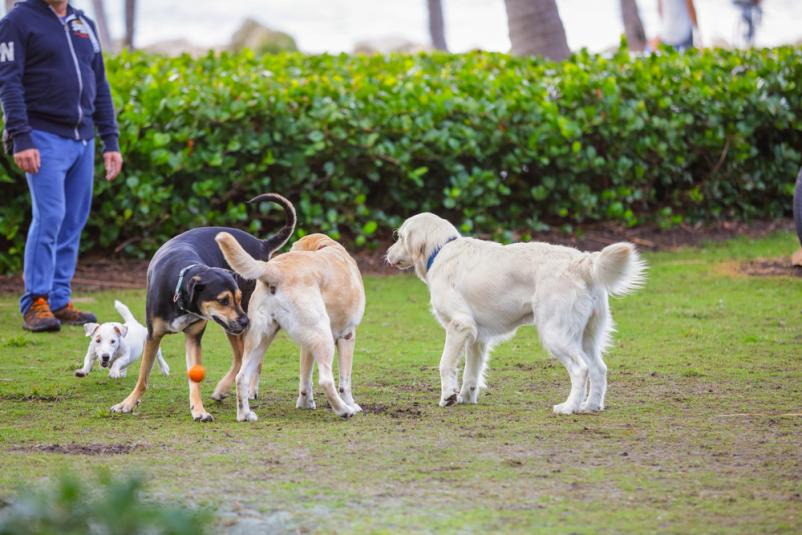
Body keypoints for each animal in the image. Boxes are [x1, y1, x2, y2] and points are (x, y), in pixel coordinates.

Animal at [108, 194, 292, 422]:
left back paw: (233, 389)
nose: (246, 321)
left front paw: (199, 410)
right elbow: (143, 376)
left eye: (238, 298)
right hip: (231, 327)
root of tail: (261, 243)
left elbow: (194, 378)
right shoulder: (154, 335)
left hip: (235, 326)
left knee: (244, 358)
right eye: (223, 300)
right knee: (243, 358)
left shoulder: (194, 336)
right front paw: (127, 403)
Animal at [212, 233, 362, 422]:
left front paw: (305, 403)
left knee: (241, 377)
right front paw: (351, 404)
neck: (325, 245)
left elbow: (305, 378)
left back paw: (245, 415)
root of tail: (274, 269)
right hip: (323, 336)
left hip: (259, 342)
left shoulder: (307, 345)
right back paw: (344, 410)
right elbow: (345, 381)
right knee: (326, 380)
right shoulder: (347, 336)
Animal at [386, 214, 644, 414]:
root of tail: (581, 260)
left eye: (399, 236)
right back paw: (591, 406)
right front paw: (465, 398)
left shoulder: (459, 325)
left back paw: (569, 407)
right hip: (587, 336)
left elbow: (445, 365)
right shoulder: (478, 338)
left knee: (581, 370)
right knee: (599, 369)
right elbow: (471, 374)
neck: (441, 251)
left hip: (555, 335)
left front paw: (447, 397)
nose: (387, 254)